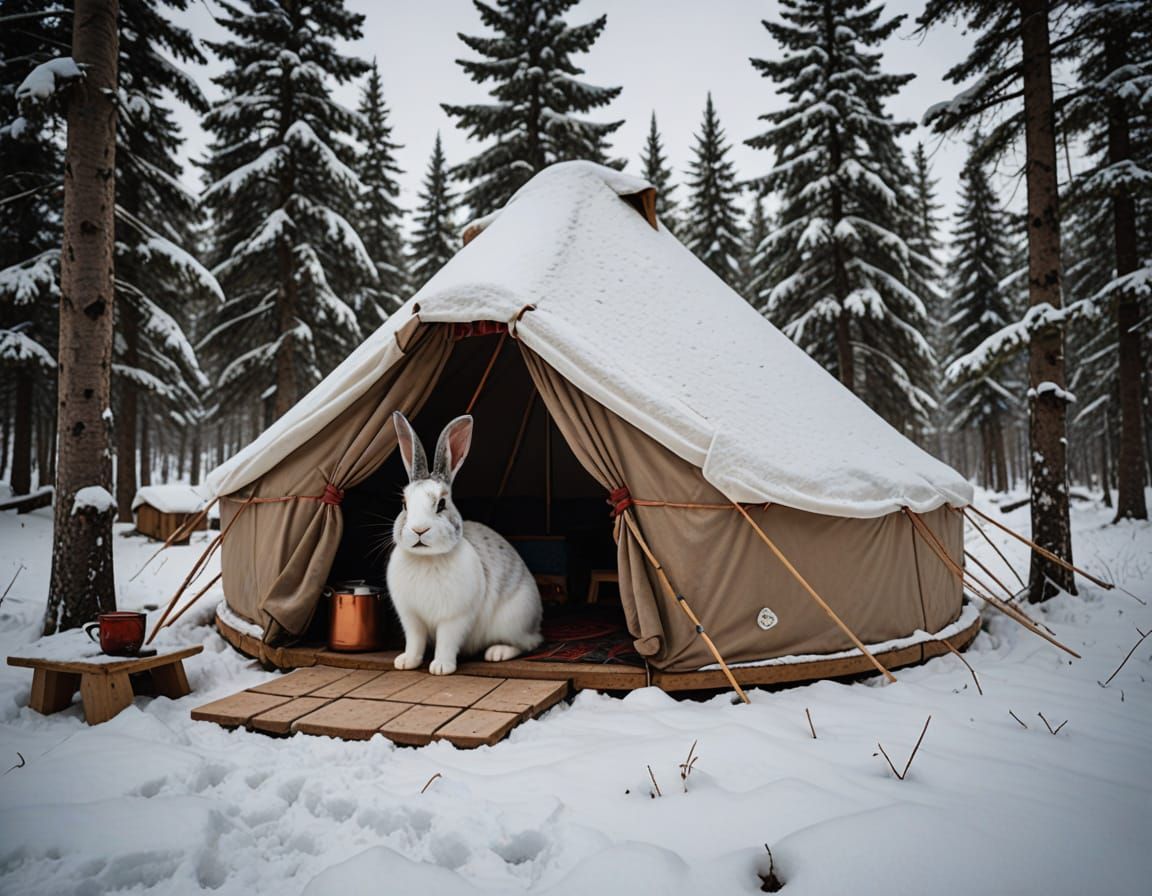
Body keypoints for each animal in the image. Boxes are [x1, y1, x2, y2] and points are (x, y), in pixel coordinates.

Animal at [386, 411, 543, 676]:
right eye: (404, 504)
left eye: (441, 504)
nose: (419, 530)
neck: (427, 558)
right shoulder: (412, 618)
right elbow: (415, 640)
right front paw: (406, 662)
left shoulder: (454, 618)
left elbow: (446, 641)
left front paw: (441, 667)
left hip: (512, 620)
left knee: (528, 644)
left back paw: (497, 653)